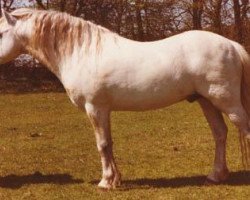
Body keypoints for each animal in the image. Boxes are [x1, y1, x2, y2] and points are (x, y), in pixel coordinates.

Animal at [0, 8, 250, 189]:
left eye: (1, 33)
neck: (83, 52)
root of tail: (231, 45)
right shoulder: (102, 110)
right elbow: (108, 143)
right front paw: (115, 179)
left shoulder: (96, 108)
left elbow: (102, 144)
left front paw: (105, 182)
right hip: (206, 101)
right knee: (220, 133)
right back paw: (215, 176)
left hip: (226, 102)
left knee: (243, 128)